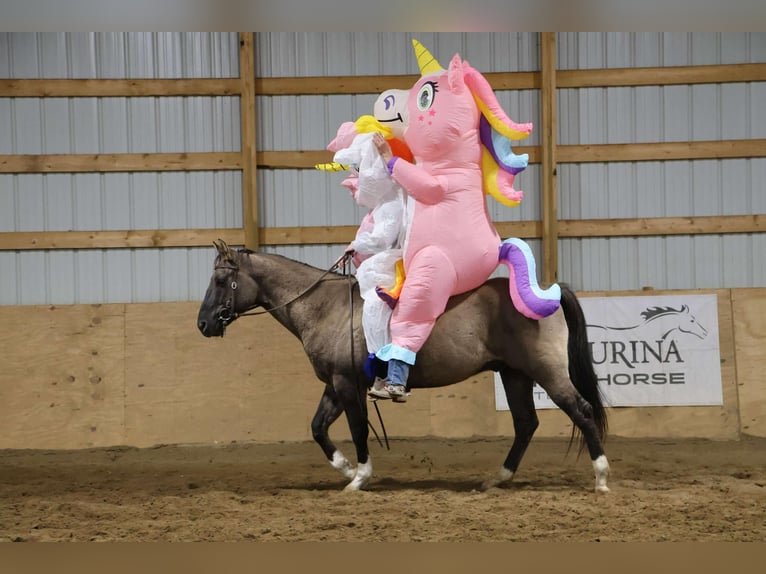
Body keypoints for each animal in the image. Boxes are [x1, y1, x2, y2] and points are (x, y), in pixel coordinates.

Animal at [198, 241, 612, 492]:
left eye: (220, 280)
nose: (203, 324)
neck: (326, 307)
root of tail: (548, 292)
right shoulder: (335, 384)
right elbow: (318, 428)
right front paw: (346, 468)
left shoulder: (347, 385)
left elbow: (358, 430)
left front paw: (359, 477)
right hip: (515, 375)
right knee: (526, 423)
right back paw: (496, 479)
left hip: (547, 373)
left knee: (581, 411)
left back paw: (601, 477)